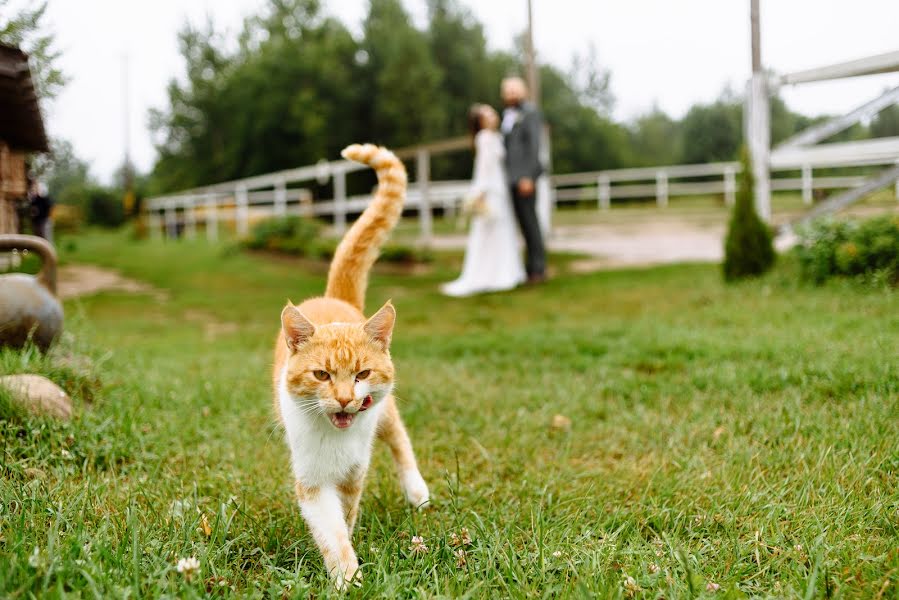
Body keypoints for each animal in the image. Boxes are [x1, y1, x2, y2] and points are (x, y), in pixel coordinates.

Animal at [272, 144, 430, 584]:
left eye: (362, 374)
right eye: (321, 375)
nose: (344, 399)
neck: (335, 437)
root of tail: (334, 298)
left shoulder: (353, 475)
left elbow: (347, 515)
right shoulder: (311, 482)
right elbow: (332, 531)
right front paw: (346, 575)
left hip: (386, 414)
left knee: (401, 441)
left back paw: (417, 492)